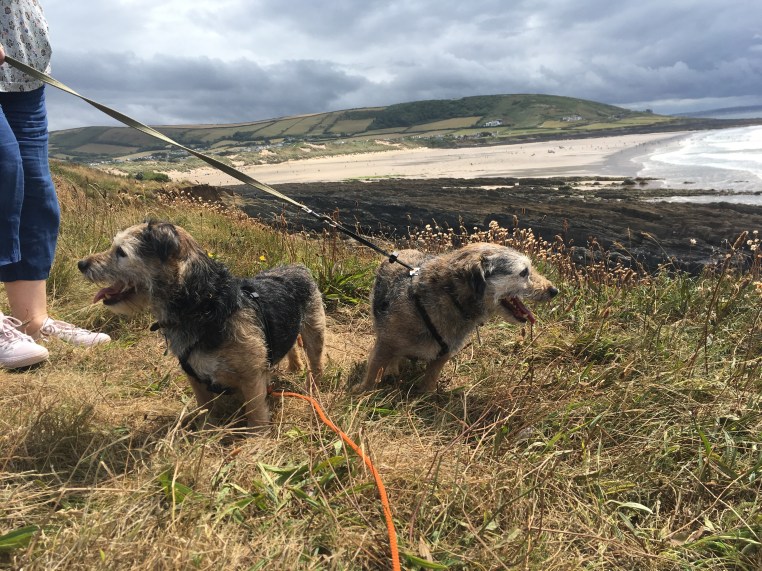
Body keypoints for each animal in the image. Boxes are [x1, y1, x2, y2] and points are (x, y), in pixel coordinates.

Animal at [77, 221, 326, 429]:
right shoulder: (195, 377)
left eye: (121, 252)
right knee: (291, 343)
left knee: (315, 361)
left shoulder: (252, 378)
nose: (81, 264)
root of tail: (298, 266)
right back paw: (295, 367)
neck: (203, 305)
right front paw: (205, 431)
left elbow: (255, 414)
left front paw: (257, 441)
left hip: (315, 330)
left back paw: (314, 386)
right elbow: (205, 408)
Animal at [356, 242, 558, 393]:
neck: (452, 300)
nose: (554, 290)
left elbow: (430, 378)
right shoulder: (386, 343)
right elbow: (375, 368)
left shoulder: (443, 354)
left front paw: (426, 397)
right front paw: (363, 392)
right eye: (524, 272)